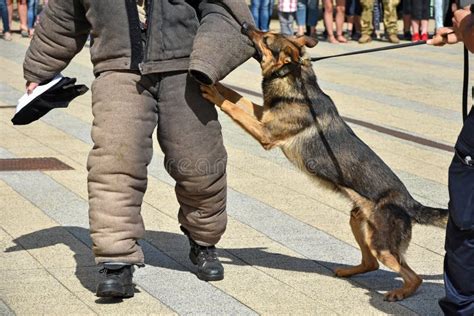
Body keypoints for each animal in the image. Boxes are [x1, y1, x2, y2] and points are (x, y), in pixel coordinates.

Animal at [201, 24, 448, 302]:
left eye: (266, 38)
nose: (245, 26)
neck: (295, 78)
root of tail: (410, 203)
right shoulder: (263, 115)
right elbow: (237, 97)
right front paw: (216, 83)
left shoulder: (265, 133)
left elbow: (233, 106)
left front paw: (213, 92)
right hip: (358, 222)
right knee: (371, 263)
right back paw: (349, 271)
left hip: (383, 245)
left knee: (413, 277)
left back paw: (399, 293)